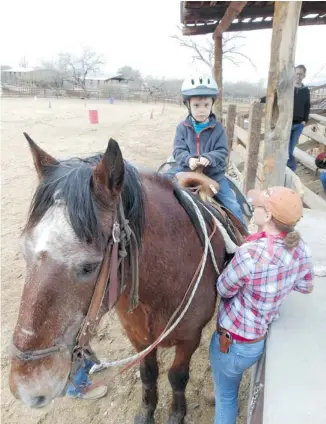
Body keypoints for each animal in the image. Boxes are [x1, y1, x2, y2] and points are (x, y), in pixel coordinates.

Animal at [8, 134, 246, 422]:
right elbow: (148, 373)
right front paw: (146, 411)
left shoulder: (190, 338)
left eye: (90, 266)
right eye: (24, 250)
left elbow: (177, 377)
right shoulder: (138, 337)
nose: (27, 387)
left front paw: (177, 413)